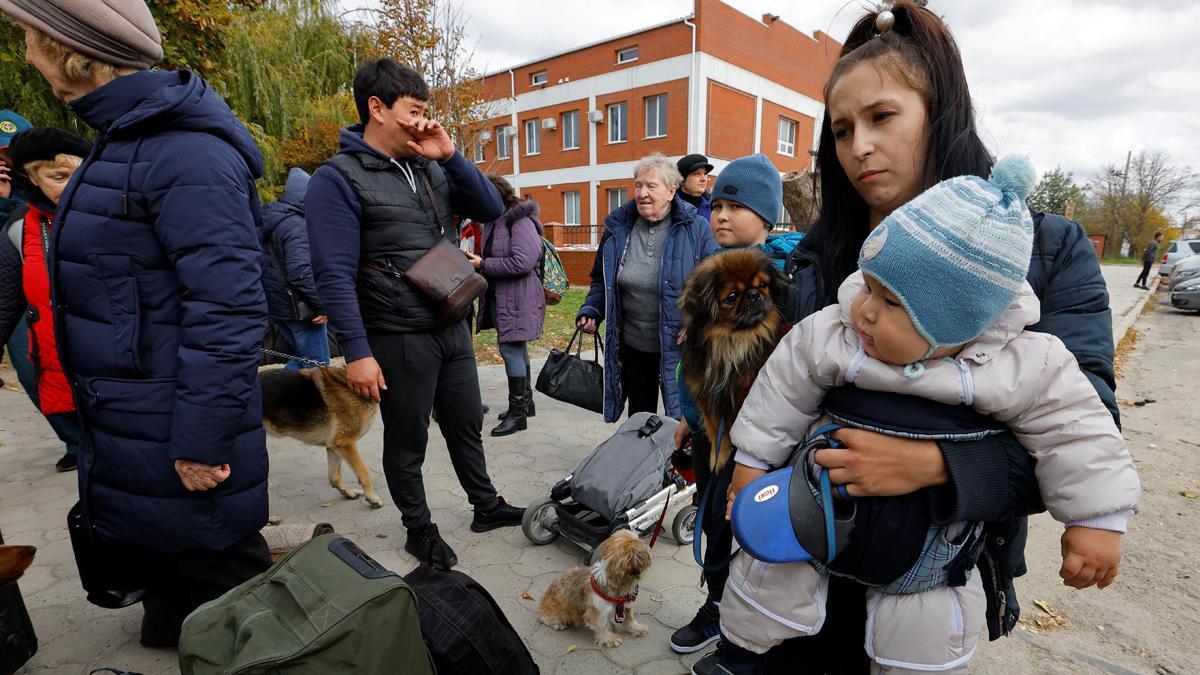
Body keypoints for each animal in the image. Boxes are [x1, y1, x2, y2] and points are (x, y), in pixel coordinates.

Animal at [260, 365, 381, 506]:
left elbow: (334, 477)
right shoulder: (346, 442)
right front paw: (372, 497)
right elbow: (364, 472)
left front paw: (348, 492)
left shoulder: (334, 446)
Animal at [681, 243, 792, 470]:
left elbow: (732, 430)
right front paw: (717, 457)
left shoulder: (742, 395)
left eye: (763, 284)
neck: (733, 342)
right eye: (731, 297)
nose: (754, 294)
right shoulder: (708, 397)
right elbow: (716, 430)